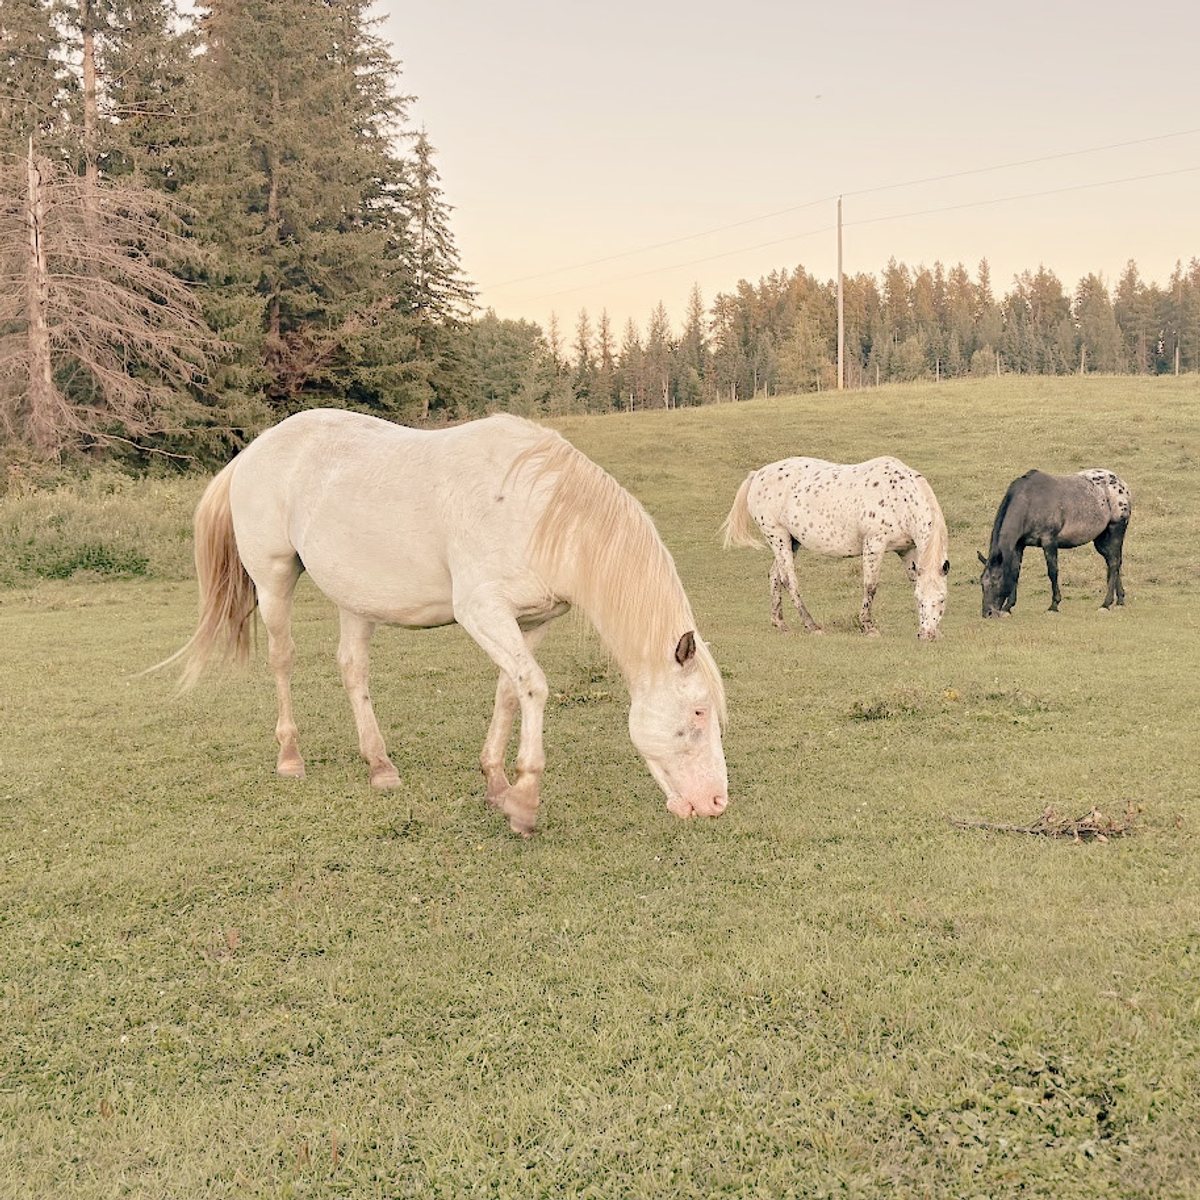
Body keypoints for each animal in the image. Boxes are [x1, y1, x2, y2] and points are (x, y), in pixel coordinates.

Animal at [157, 409, 729, 836]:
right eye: (699, 713)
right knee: (283, 660)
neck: (540, 511)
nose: (717, 803)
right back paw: (291, 757)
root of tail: (252, 452)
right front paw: (525, 799)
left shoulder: (531, 621)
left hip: (354, 597)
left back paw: (380, 766)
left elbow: (512, 690)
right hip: (274, 581)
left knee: (352, 669)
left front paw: (497, 783)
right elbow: (536, 688)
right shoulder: (481, 611)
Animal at [721, 455, 950, 640]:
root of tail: (757, 474)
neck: (900, 498)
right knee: (789, 580)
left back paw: (780, 623)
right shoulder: (874, 545)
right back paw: (811, 625)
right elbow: (870, 586)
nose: (927, 635)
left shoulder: (907, 551)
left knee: (775, 576)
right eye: (920, 601)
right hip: (778, 537)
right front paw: (868, 627)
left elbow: (913, 581)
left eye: (942, 599)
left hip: (790, 541)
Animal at [977, 468, 1132, 618]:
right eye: (982, 582)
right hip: (1101, 540)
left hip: (1116, 530)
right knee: (1113, 562)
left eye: (996, 579)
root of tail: (1122, 486)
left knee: (1114, 563)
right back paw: (1120, 600)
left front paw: (1054, 605)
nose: (988, 613)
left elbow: (1052, 572)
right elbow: (1015, 572)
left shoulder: (1049, 542)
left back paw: (1106, 604)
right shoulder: (1019, 545)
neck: (1029, 501)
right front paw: (1008, 607)